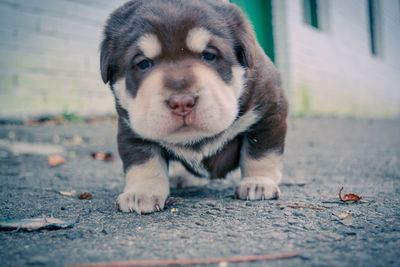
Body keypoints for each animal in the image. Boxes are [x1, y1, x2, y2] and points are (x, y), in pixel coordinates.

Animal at [100, 0, 288, 215]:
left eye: (209, 55)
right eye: (143, 63)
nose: (182, 102)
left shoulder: (268, 113)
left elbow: (261, 153)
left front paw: (258, 183)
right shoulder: (133, 130)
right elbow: (143, 162)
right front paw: (141, 193)